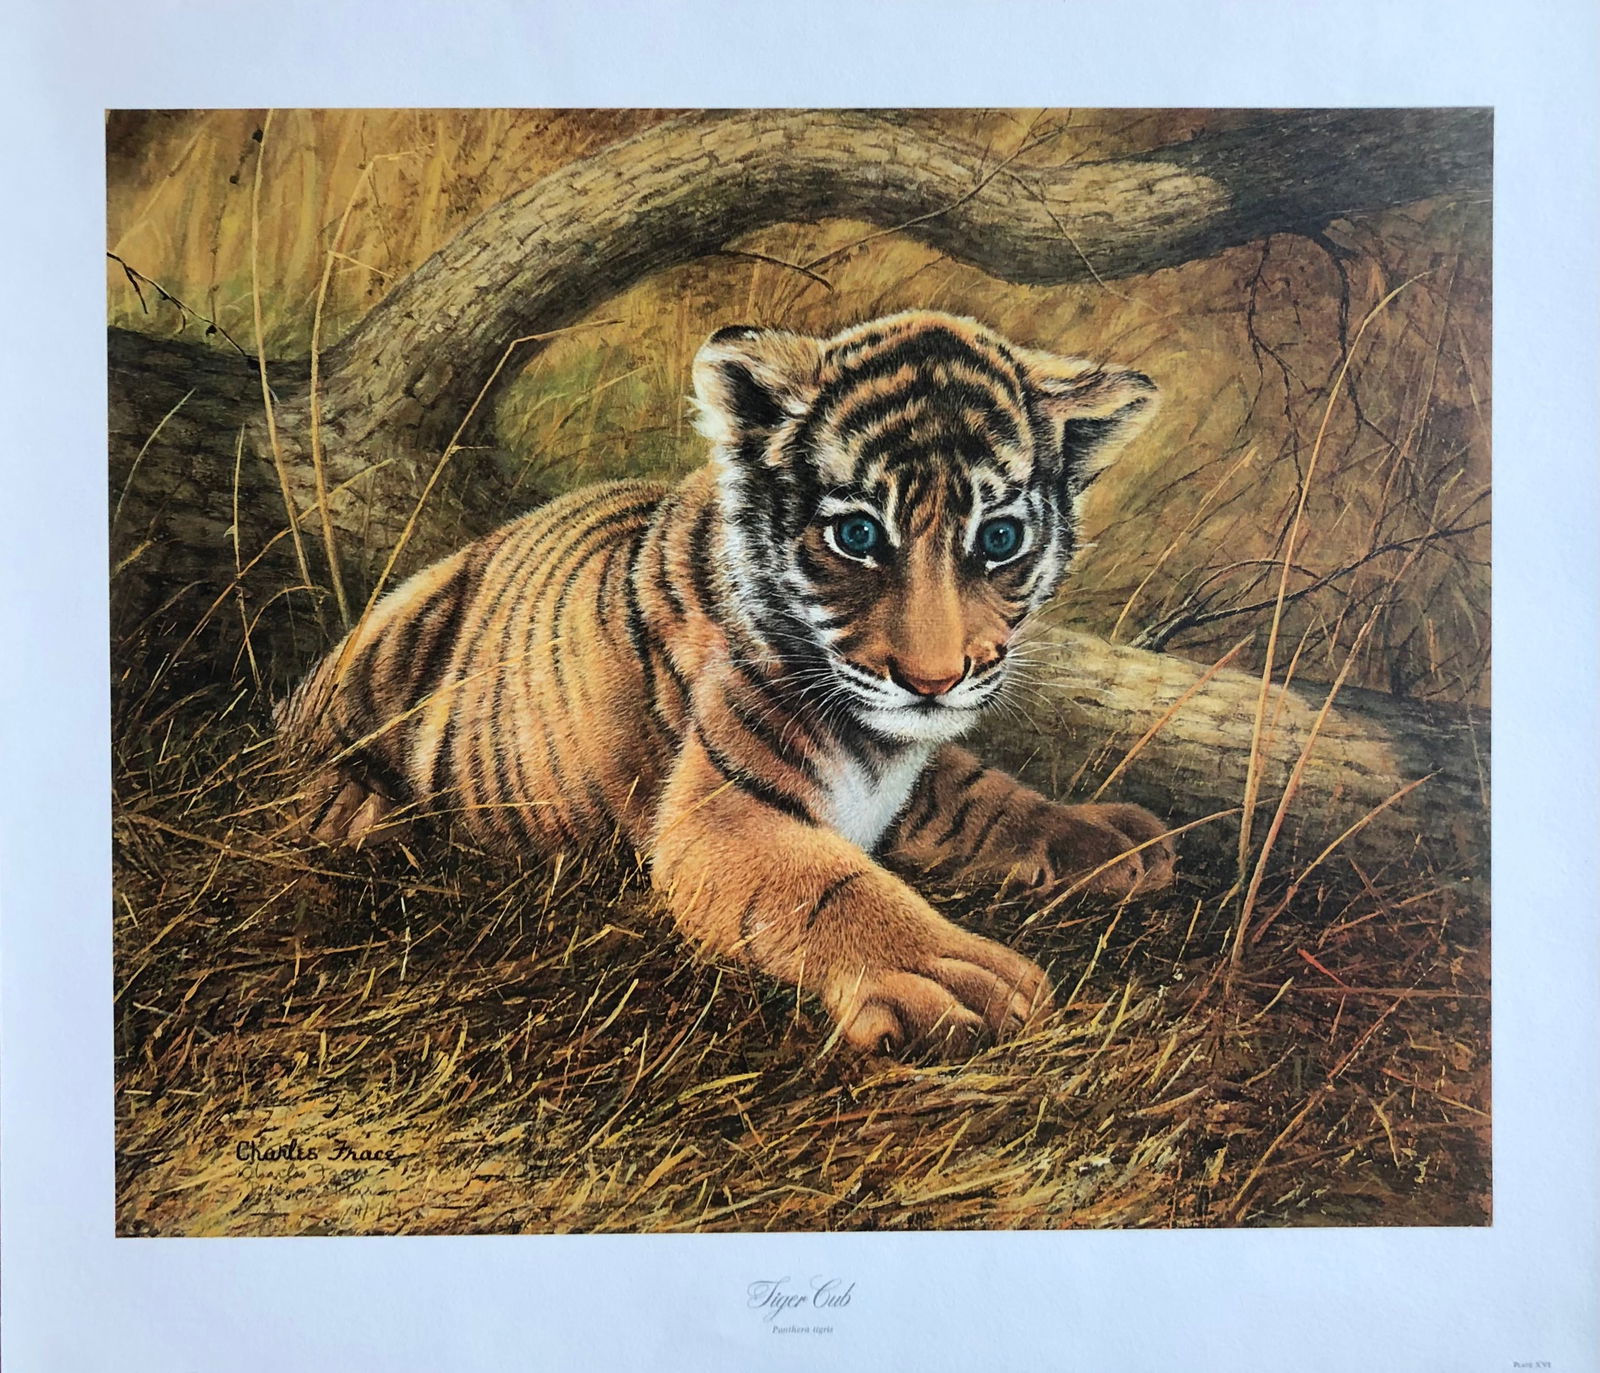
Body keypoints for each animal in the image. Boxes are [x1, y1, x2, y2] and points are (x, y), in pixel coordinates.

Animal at [276, 310, 1176, 1055]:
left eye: (998, 539)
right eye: (857, 535)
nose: (934, 680)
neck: (882, 739)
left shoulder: (914, 765)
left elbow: (985, 793)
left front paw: (1114, 838)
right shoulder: (726, 810)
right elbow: (827, 886)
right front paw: (956, 974)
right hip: (392, 634)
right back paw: (350, 808)